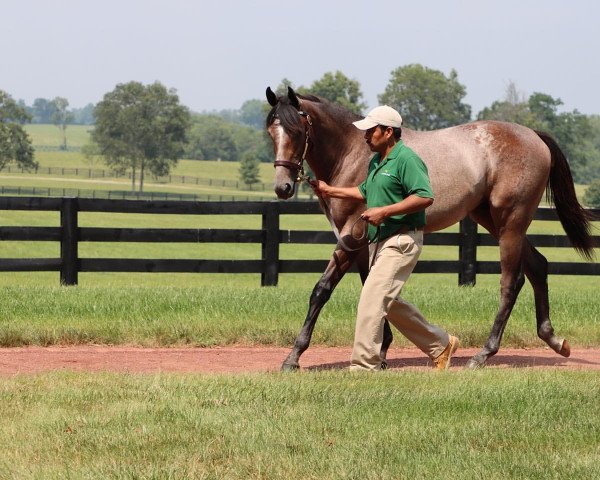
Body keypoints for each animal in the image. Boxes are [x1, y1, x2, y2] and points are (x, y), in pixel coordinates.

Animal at [268, 86, 596, 372]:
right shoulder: (359, 243)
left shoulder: (352, 236)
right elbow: (373, 288)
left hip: (511, 222)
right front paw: (381, 351)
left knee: (511, 283)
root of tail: (534, 135)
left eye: (297, 131)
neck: (352, 153)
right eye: (271, 131)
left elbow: (323, 290)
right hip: (492, 220)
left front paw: (293, 357)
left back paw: (483, 354)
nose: (283, 187)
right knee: (538, 266)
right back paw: (554, 340)